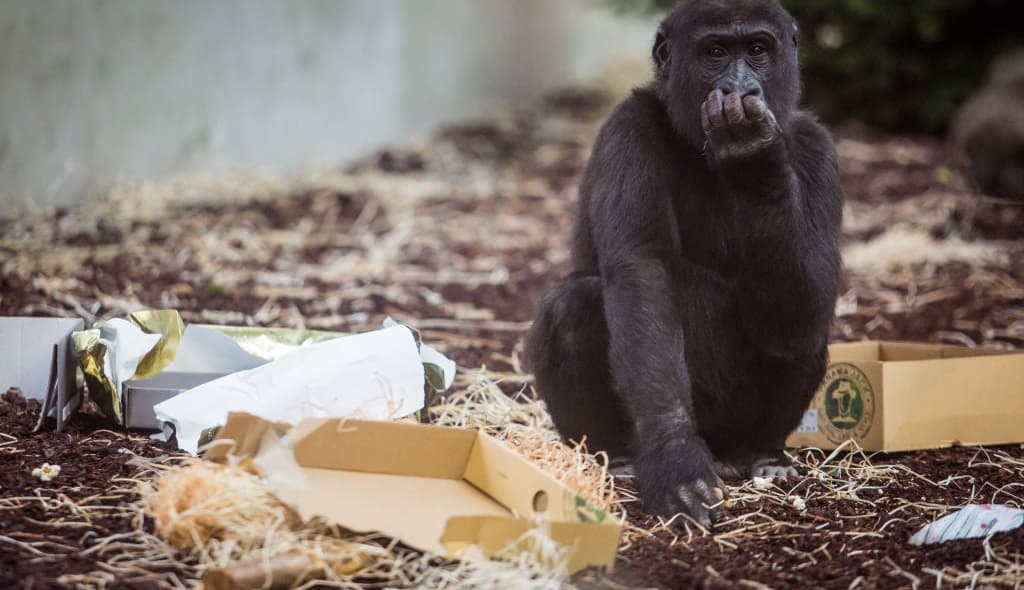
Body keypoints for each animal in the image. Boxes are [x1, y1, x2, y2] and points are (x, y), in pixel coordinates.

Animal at [526, 0, 842, 526]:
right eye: (715, 53)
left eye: (757, 50)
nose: (738, 86)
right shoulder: (627, 128)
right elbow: (642, 274)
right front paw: (674, 457)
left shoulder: (818, 148)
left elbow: (805, 309)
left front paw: (756, 159)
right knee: (572, 307)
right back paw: (619, 455)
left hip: (734, 432)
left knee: (801, 336)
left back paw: (764, 453)